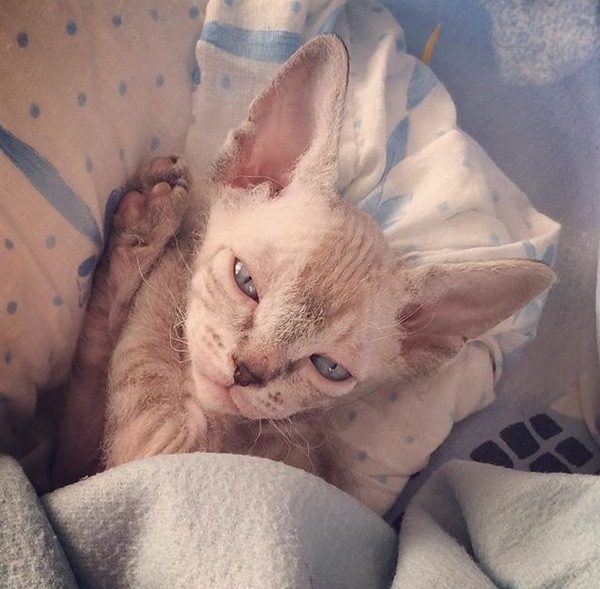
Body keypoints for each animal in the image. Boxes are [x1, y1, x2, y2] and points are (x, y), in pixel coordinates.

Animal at [52, 35, 555, 506]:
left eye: (329, 367)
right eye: (246, 281)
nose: (246, 372)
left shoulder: (159, 446)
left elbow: (145, 335)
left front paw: (167, 243)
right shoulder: (89, 449)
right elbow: (88, 379)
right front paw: (148, 219)